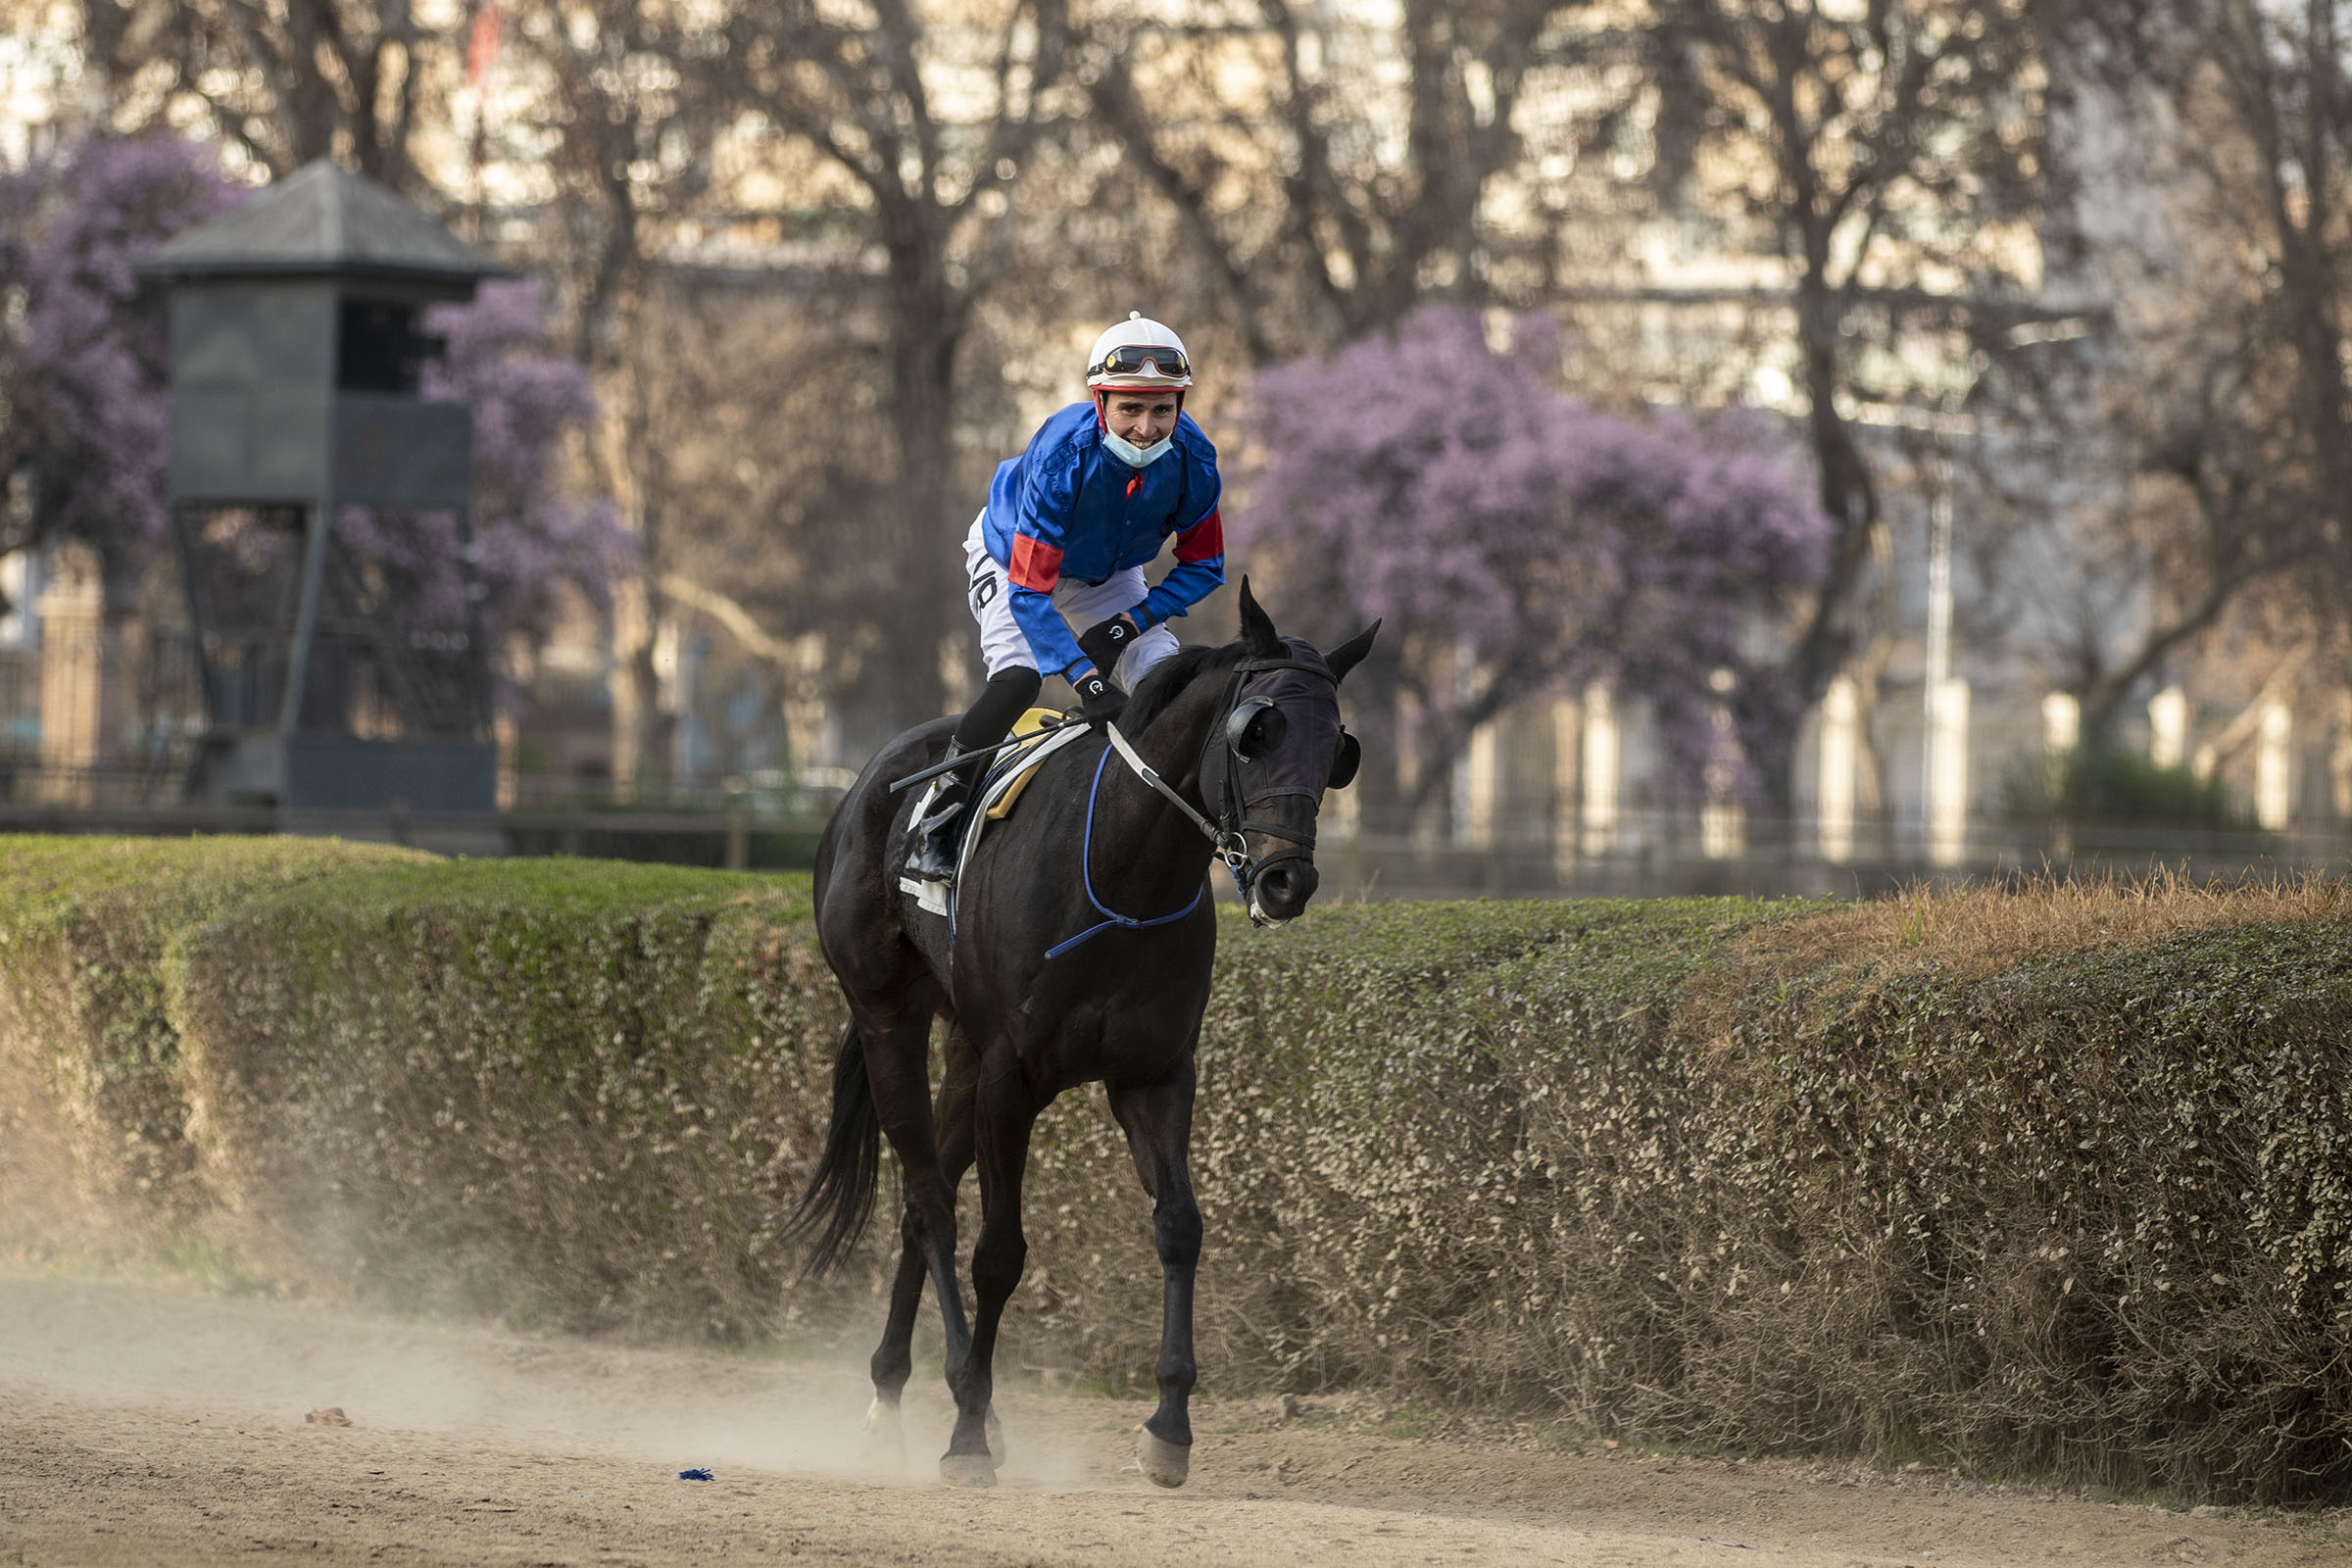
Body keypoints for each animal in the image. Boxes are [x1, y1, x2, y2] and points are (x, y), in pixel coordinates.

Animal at [789, 581, 1377, 1488]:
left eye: (1336, 750)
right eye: (1257, 735)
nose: (1286, 881)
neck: (1122, 874)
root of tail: (866, 786)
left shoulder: (1153, 1074)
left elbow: (1180, 1227)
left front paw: (1169, 1425)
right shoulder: (1012, 1079)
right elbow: (999, 1251)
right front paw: (967, 1431)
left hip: (961, 1049)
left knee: (925, 1205)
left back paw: (896, 1391)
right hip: (889, 1017)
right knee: (931, 1202)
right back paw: (941, 1402)